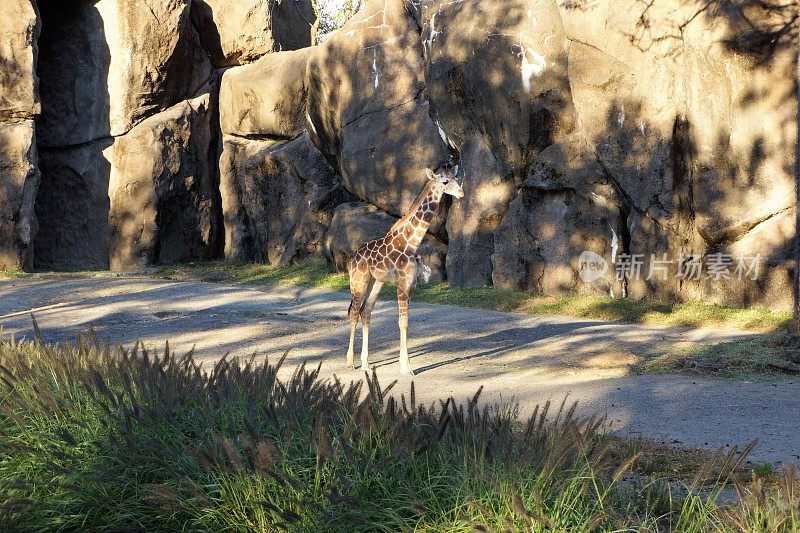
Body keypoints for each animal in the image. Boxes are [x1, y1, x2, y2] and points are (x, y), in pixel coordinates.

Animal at [344, 166, 462, 374]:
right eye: (445, 182)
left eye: (456, 177)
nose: (461, 193)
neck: (412, 243)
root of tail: (352, 259)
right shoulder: (402, 284)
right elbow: (402, 322)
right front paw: (406, 368)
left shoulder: (411, 285)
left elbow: (406, 321)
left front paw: (405, 365)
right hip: (358, 281)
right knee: (354, 312)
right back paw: (350, 362)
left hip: (376, 282)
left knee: (366, 311)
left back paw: (366, 364)